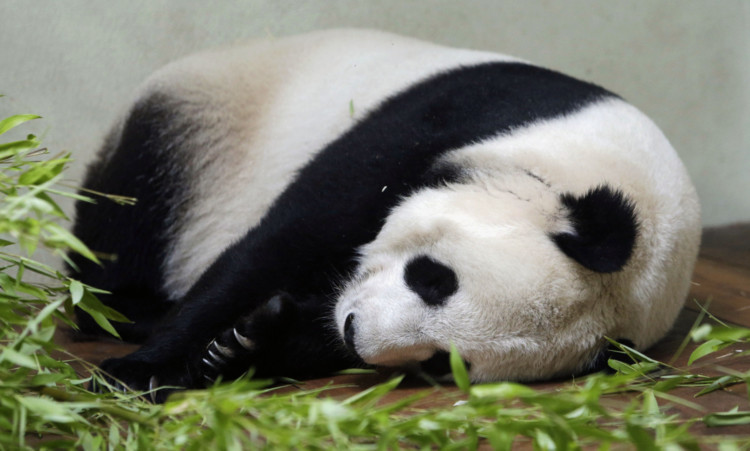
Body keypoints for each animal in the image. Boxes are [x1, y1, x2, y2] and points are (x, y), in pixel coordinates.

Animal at [72, 29, 704, 402]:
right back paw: (131, 309)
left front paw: (247, 343)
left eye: (444, 362)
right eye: (435, 279)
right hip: (196, 131)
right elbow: (283, 241)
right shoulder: (453, 121)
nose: (355, 329)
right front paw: (143, 371)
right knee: (129, 215)